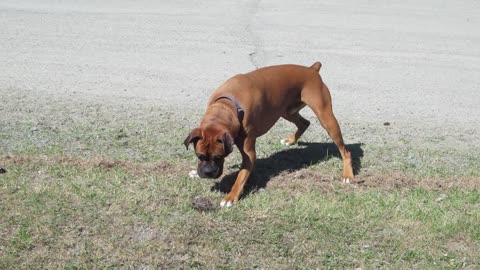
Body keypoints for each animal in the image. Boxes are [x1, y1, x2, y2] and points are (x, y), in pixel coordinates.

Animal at [186, 62, 354, 208]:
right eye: (199, 155)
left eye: (218, 157)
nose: (207, 173)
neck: (227, 106)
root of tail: (311, 69)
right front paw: (196, 172)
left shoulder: (249, 154)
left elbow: (241, 177)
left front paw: (231, 197)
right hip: (287, 111)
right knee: (304, 123)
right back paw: (291, 140)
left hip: (326, 117)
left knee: (345, 151)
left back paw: (348, 175)